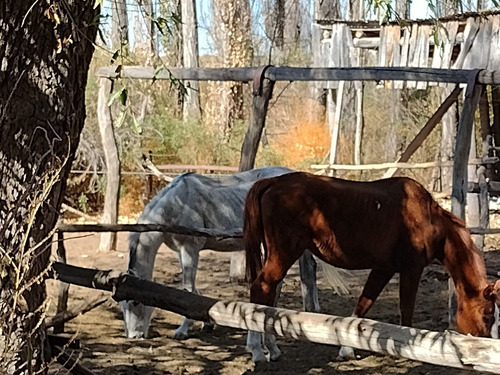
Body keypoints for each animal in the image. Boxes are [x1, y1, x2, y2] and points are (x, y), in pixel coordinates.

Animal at [121, 167, 342, 340]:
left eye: (135, 302)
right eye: (122, 305)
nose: (135, 336)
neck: (176, 205)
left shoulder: (190, 249)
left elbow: (187, 288)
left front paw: (183, 330)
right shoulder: (181, 251)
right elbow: (191, 290)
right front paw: (206, 323)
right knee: (308, 271)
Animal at [243, 173, 500, 364]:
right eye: (487, 314)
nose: (485, 347)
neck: (429, 218)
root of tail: (273, 181)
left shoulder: (383, 269)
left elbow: (364, 304)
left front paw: (347, 348)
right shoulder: (411, 269)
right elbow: (406, 310)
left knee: (268, 296)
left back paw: (272, 349)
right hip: (283, 254)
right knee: (260, 289)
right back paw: (257, 351)